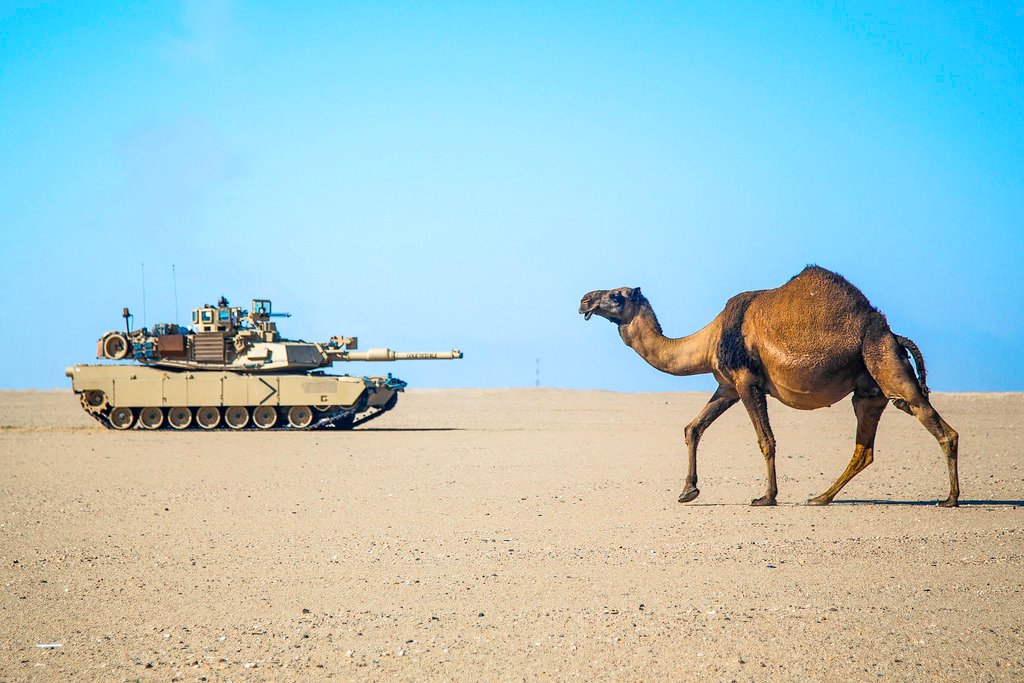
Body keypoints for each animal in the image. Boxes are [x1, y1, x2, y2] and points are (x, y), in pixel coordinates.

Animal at [578, 265, 959, 507]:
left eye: (616, 295)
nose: (584, 299)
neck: (710, 339)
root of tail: (894, 335)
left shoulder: (747, 382)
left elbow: (766, 440)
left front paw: (766, 497)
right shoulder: (727, 386)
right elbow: (693, 428)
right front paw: (688, 491)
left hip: (885, 362)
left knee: (936, 424)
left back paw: (950, 499)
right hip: (869, 388)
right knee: (864, 447)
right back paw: (819, 498)